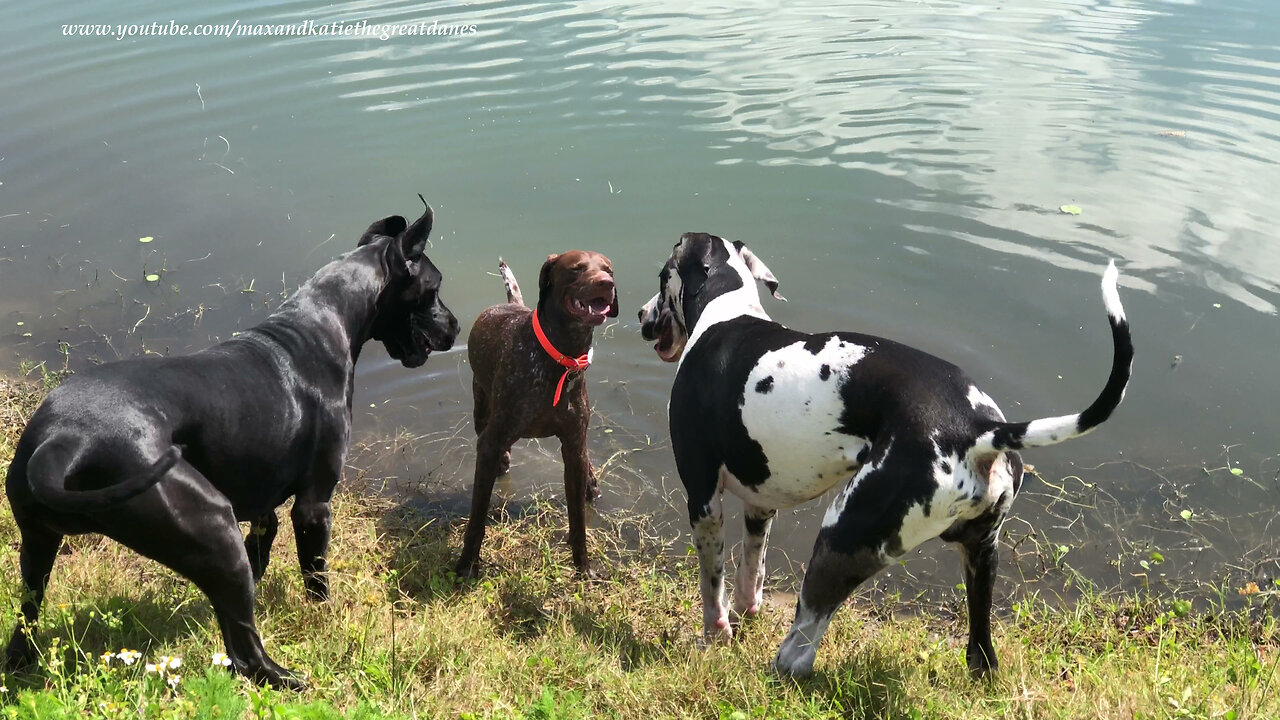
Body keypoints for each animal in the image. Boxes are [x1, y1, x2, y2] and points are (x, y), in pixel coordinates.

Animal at [460, 252, 619, 576]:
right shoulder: (489, 444)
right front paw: (466, 565)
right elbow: (477, 519)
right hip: (481, 411)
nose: (606, 283)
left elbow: (578, 522)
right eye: (576, 269)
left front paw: (584, 569)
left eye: (608, 270)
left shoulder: (573, 446)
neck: (559, 357)